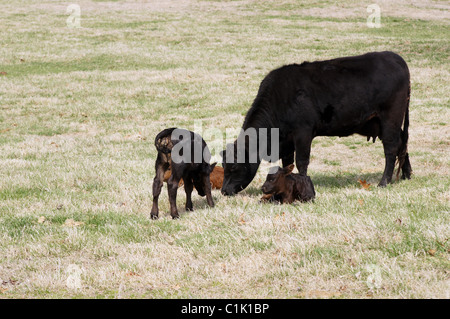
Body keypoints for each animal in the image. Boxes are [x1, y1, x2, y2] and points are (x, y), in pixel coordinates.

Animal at [221, 51, 412, 196]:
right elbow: (287, 163)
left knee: (391, 148)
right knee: (402, 143)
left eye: (234, 166)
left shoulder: (303, 132)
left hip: (390, 118)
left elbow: (301, 161)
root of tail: (395, 57)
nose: (224, 190)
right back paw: (406, 175)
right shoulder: (287, 141)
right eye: (223, 166)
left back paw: (384, 182)